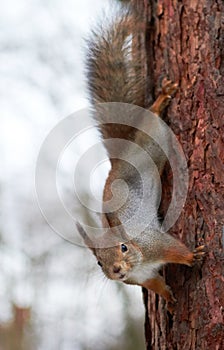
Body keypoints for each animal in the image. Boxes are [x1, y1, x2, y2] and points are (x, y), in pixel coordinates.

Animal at [76, 2, 206, 314]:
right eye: (99, 262)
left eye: (123, 247)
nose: (117, 270)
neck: (138, 262)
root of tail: (121, 155)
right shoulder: (143, 280)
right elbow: (156, 284)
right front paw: (169, 298)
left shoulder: (154, 243)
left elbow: (174, 248)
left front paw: (192, 256)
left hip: (154, 142)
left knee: (152, 118)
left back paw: (160, 101)